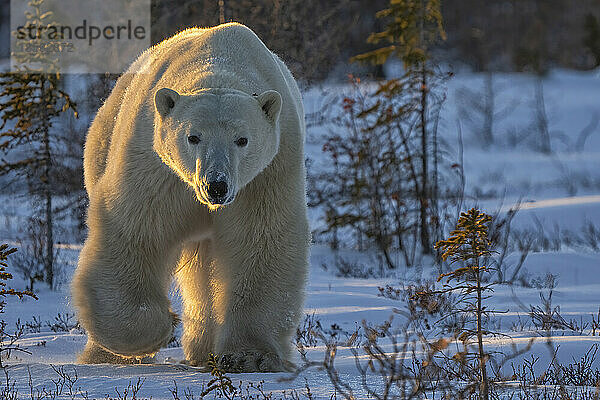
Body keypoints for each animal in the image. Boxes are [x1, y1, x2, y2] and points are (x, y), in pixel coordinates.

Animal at [71, 22, 310, 372]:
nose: (216, 186)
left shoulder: (267, 173)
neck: (220, 65)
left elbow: (260, 239)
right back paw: (102, 356)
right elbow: (137, 231)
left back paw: (202, 350)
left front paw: (249, 356)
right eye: (193, 137)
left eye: (242, 139)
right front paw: (158, 327)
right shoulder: (156, 167)